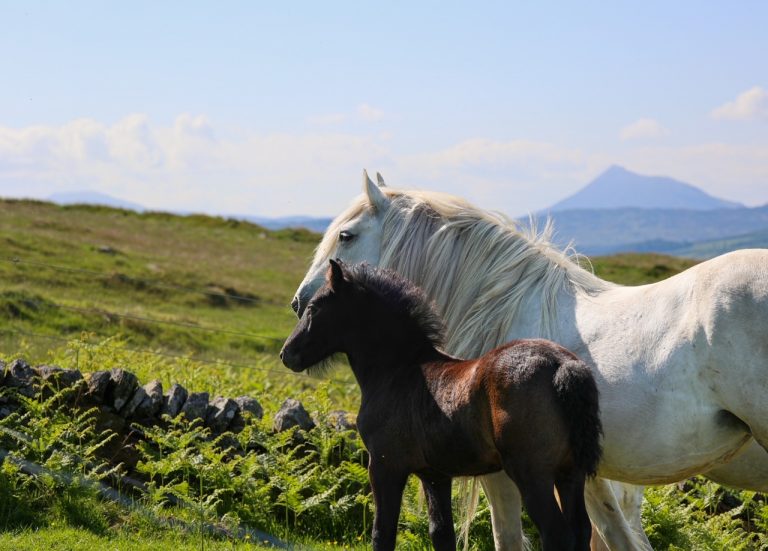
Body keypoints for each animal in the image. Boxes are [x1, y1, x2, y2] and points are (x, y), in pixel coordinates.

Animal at [281, 259, 603, 551]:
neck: (399, 370)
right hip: (570, 474)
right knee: (581, 530)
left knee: (557, 534)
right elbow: (441, 533)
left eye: (314, 307)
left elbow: (382, 534)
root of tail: (561, 365)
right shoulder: (435, 475)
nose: (287, 354)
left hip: (532, 474)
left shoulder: (384, 465)